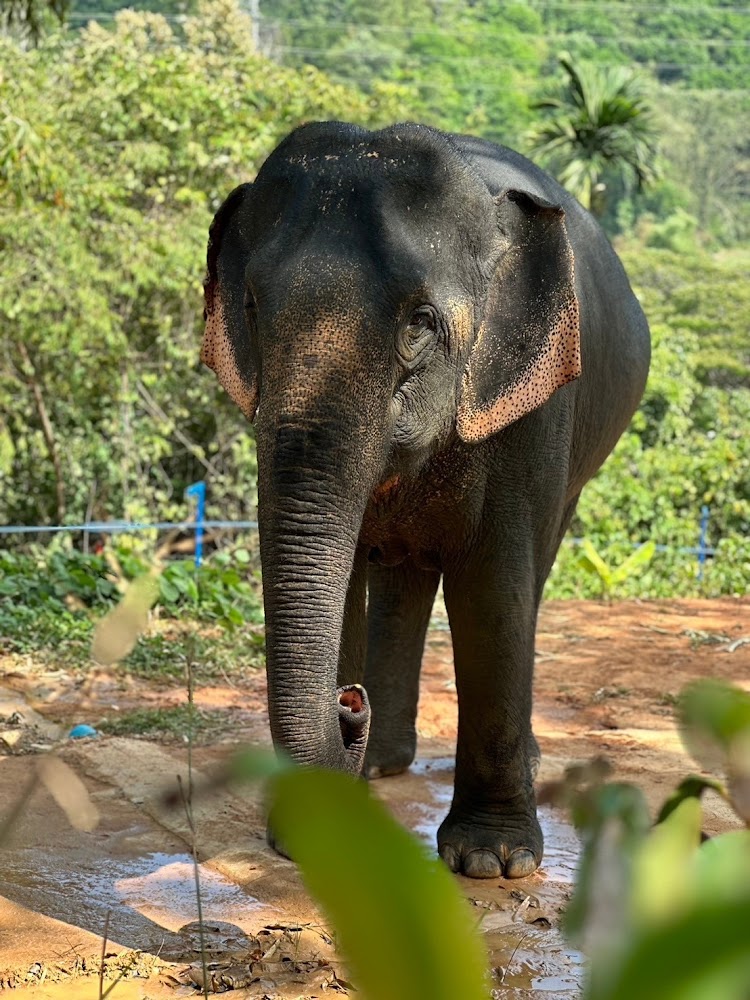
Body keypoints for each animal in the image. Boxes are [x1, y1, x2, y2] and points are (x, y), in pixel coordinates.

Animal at [201, 121, 650, 879]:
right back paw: (384, 762)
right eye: (254, 309)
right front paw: (315, 832)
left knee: (531, 569)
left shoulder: (530, 413)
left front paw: (493, 861)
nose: (348, 702)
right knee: (400, 573)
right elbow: (345, 572)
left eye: (420, 321)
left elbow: (496, 587)